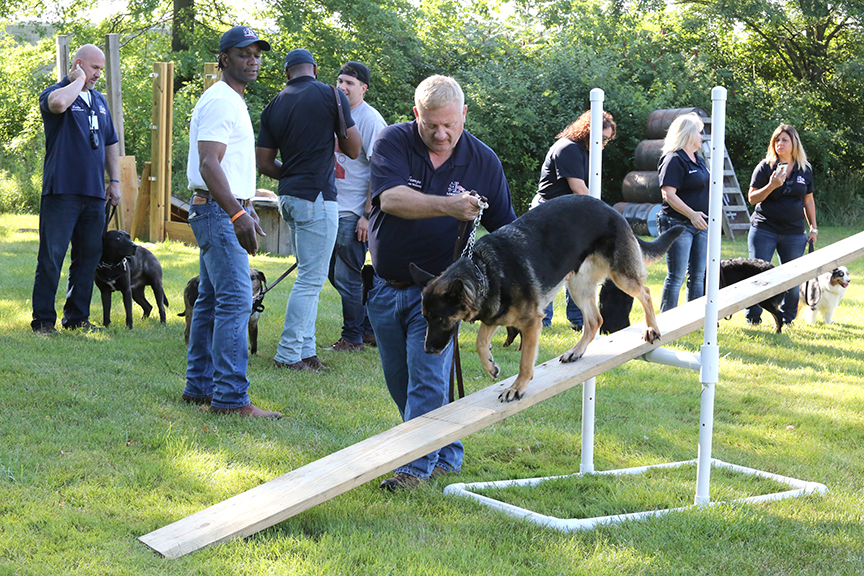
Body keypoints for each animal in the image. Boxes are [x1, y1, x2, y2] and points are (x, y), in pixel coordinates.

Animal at [408, 196, 684, 402]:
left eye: (440, 318)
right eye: (425, 318)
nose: (428, 350)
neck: (483, 270)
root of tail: (612, 210)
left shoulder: (532, 323)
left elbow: (525, 362)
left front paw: (517, 387)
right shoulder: (494, 316)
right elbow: (480, 342)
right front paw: (490, 366)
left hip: (620, 276)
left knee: (645, 292)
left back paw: (652, 328)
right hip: (577, 285)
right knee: (594, 320)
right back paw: (576, 352)